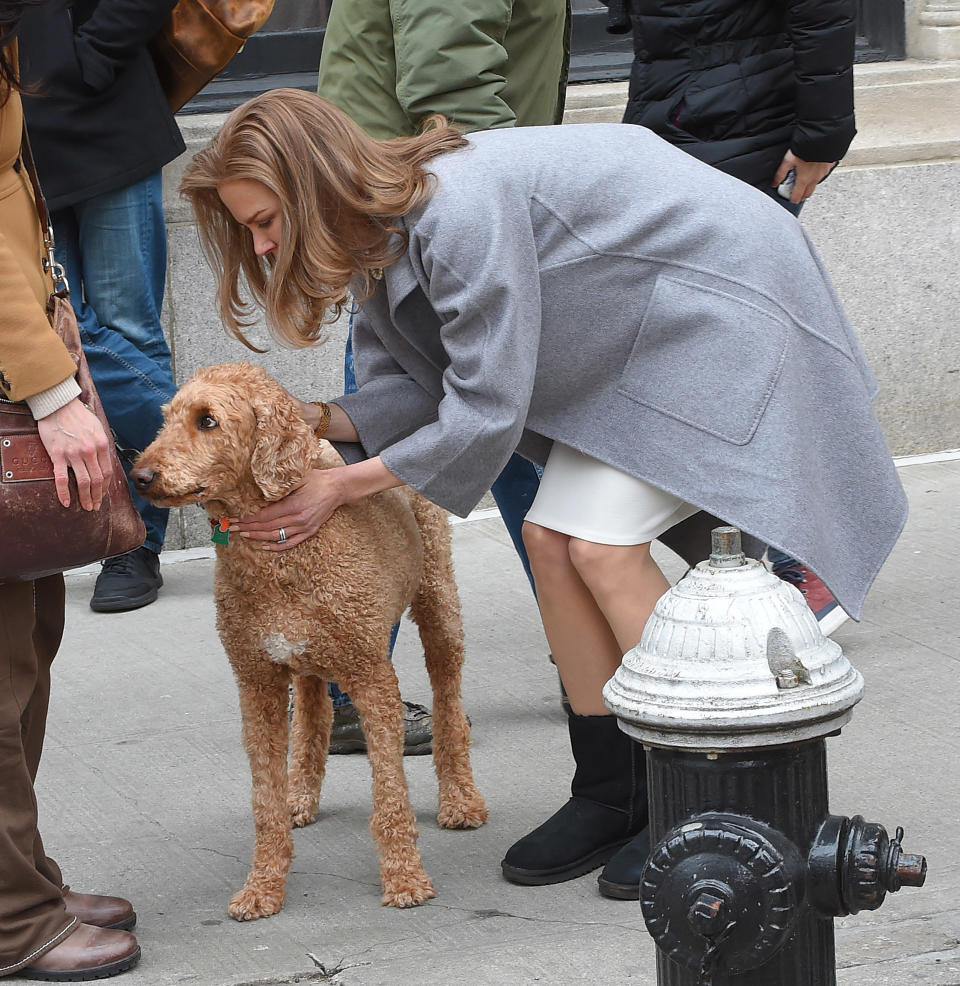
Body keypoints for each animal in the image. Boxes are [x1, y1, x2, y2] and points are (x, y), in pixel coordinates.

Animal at [129, 360, 488, 916]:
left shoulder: (373, 679)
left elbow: (390, 794)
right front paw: (263, 886)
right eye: (166, 418)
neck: (277, 557)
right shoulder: (257, 683)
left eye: (207, 420)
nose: (140, 475)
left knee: (449, 703)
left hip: (438, 605)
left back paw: (459, 799)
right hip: (308, 661)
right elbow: (264, 800)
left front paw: (405, 878)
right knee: (316, 716)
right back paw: (301, 794)